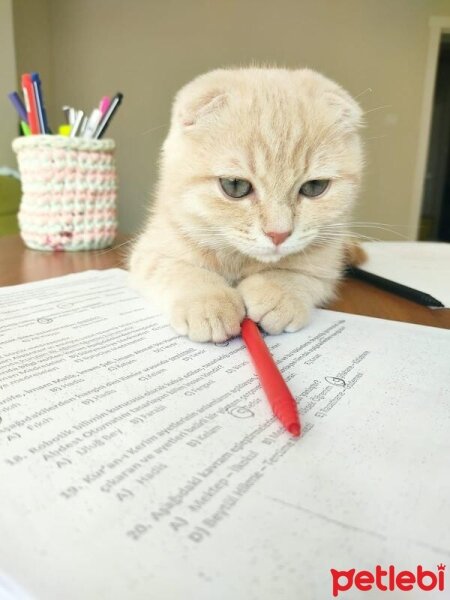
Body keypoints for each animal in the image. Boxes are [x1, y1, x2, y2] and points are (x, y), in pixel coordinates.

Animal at [128, 66, 364, 342]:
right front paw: (209, 302)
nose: (278, 234)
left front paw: (277, 292)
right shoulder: (150, 249)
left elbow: (301, 274)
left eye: (315, 187)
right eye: (235, 186)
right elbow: (177, 268)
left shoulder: (327, 263)